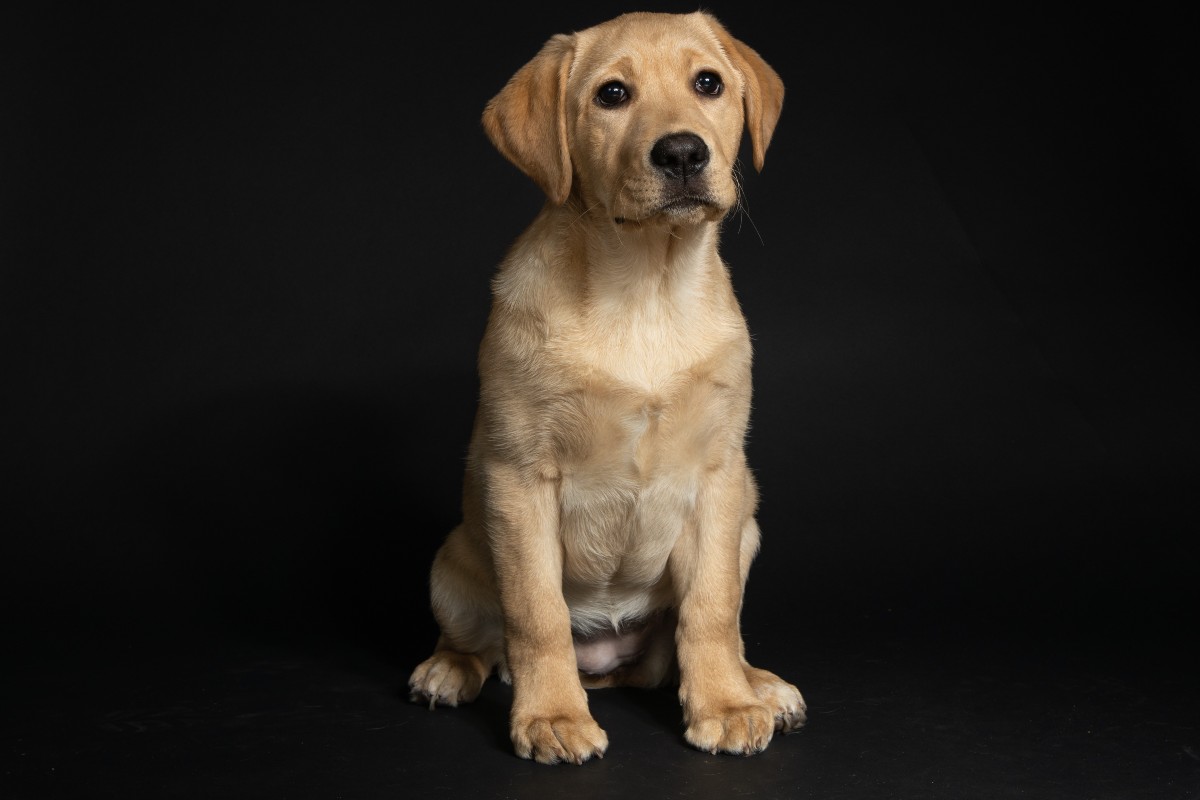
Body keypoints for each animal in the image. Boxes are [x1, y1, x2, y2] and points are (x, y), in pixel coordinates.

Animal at [410, 10, 806, 762]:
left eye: (708, 83)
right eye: (612, 95)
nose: (681, 154)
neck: (646, 288)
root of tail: (609, 664)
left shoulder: (720, 476)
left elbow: (712, 608)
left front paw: (724, 703)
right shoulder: (520, 477)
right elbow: (537, 615)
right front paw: (552, 717)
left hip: (749, 523)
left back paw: (757, 683)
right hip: (453, 563)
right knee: (485, 641)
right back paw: (450, 670)